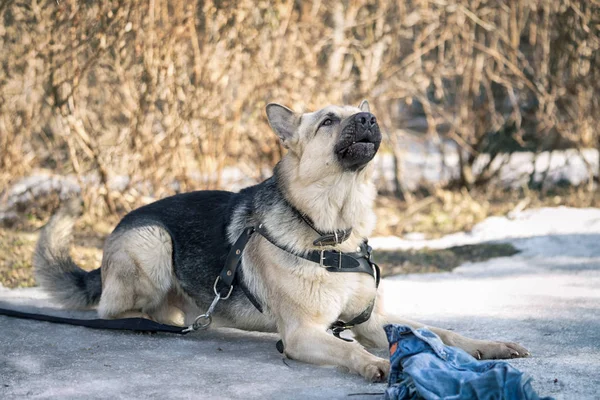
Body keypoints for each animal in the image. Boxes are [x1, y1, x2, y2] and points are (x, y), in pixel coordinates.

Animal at [35, 101, 528, 382]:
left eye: (357, 112)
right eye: (328, 121)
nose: (369, 118)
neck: (332, 231)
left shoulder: (372, 320)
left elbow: (441, 331)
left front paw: (487, 347)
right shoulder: (303, 334)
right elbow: (347, 348)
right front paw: (382, 365)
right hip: (152, 241)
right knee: (114, 311)